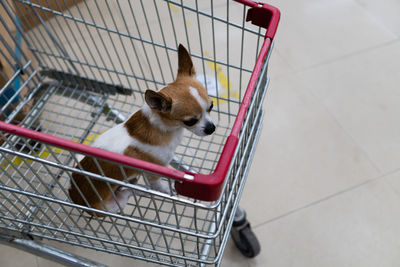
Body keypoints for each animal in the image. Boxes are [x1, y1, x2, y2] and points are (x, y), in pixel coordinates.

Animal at [70, 43, 217, 216]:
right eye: (190, 121)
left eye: (211, 106)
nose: (211, 128)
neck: (163, 127)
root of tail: (75, 197)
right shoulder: (154, 172)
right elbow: (159, 185)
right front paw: (167, 189)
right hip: (113, 205)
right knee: (129, 192)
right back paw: (140, 189)